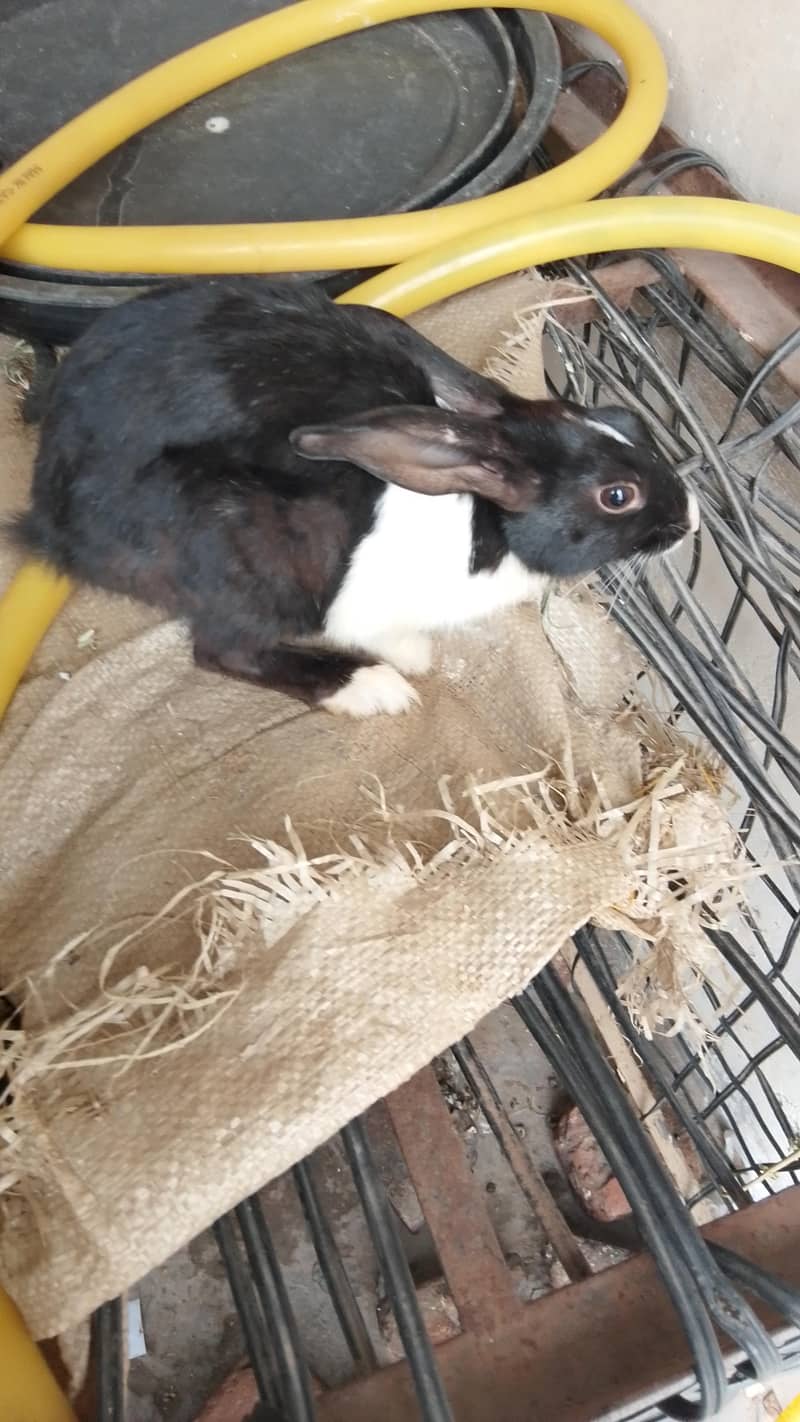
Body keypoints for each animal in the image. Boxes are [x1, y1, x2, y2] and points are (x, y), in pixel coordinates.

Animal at [10, 277, 699, 718]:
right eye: (617, 496)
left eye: (626, 419)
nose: (691, 519)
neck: (485, 523)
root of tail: (50, 514)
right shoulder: (361, 603)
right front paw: (411, 661)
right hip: (246, 551)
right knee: (223, 651)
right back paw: (368, 689)